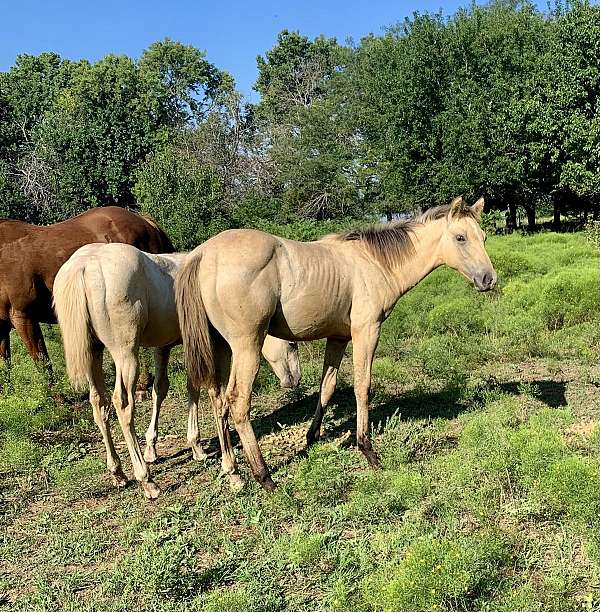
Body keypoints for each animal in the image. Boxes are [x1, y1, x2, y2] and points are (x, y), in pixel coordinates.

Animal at [52, 241, 300, 500]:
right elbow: (198, 388)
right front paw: (197, 447)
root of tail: (84, 265)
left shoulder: (164, 346)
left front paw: (153, 448)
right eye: (291, 343)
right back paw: (147, 481)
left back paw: (118, 473)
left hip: (93, 353)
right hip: (125, 353)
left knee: (99, 403)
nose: (294, 380)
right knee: (123, 404)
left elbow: (160, 389)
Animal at [176, 197, 500, 492]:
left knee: (218, 401)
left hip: (221, 348)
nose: (488, 279)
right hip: (247, 346)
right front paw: (367, 449)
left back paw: (233, 472)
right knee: (238, 402)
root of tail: (203, 254)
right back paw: (264, 476)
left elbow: (327, 388)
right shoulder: (366, 331)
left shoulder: (338, 338)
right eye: (460, 237)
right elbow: (362, 386)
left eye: (483, 237)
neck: (374, 262)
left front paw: (311, 438)